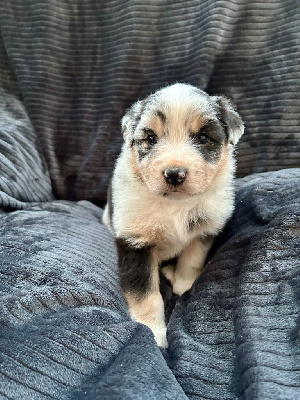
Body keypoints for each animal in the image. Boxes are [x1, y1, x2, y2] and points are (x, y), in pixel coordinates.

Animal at [103, 82, 244, 346]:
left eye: (202, 137)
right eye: (151, 138)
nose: (174, 174)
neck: (174, 205)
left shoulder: (202, 230)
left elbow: (191, 261)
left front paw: (183, 286)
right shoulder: (135, 243)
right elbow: (146, 296)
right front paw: (153, 333)